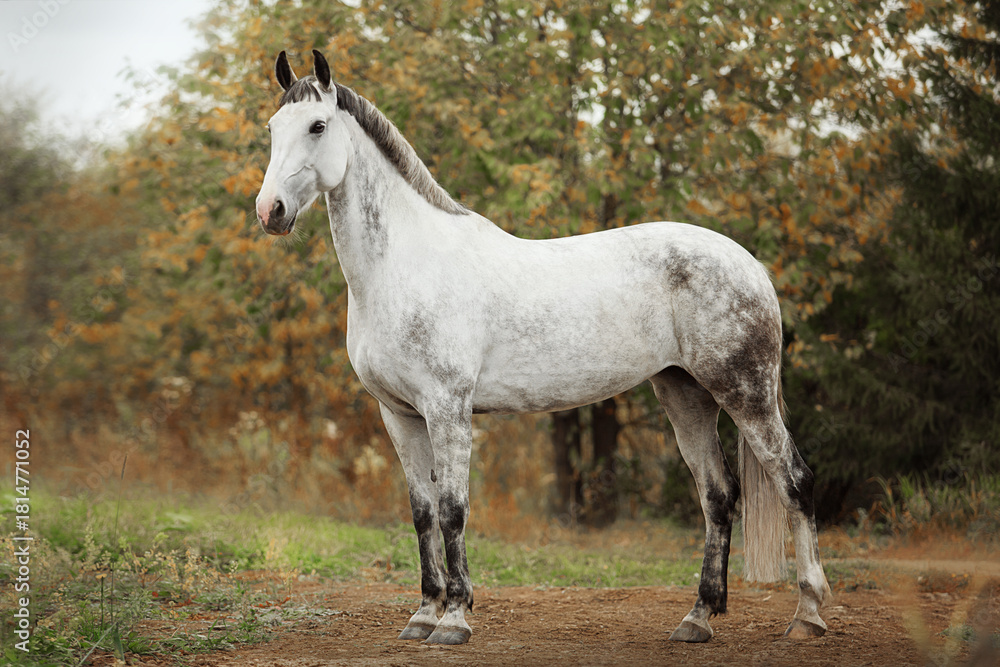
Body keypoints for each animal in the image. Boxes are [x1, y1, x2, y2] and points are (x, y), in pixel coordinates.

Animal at [255, 50, 830, 646]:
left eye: (317, 126)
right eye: (272, 128)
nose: (270, 211)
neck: (403, 266)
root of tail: (750, 264)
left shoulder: (447, 408)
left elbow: (453, 509)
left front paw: (454, 620)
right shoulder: (398, 414)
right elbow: (421, 512)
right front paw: (423, 614)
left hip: (746, 393)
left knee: (794, 482)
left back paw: (807, 615)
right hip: (685, 394)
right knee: (718, 495)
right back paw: (697, 618)